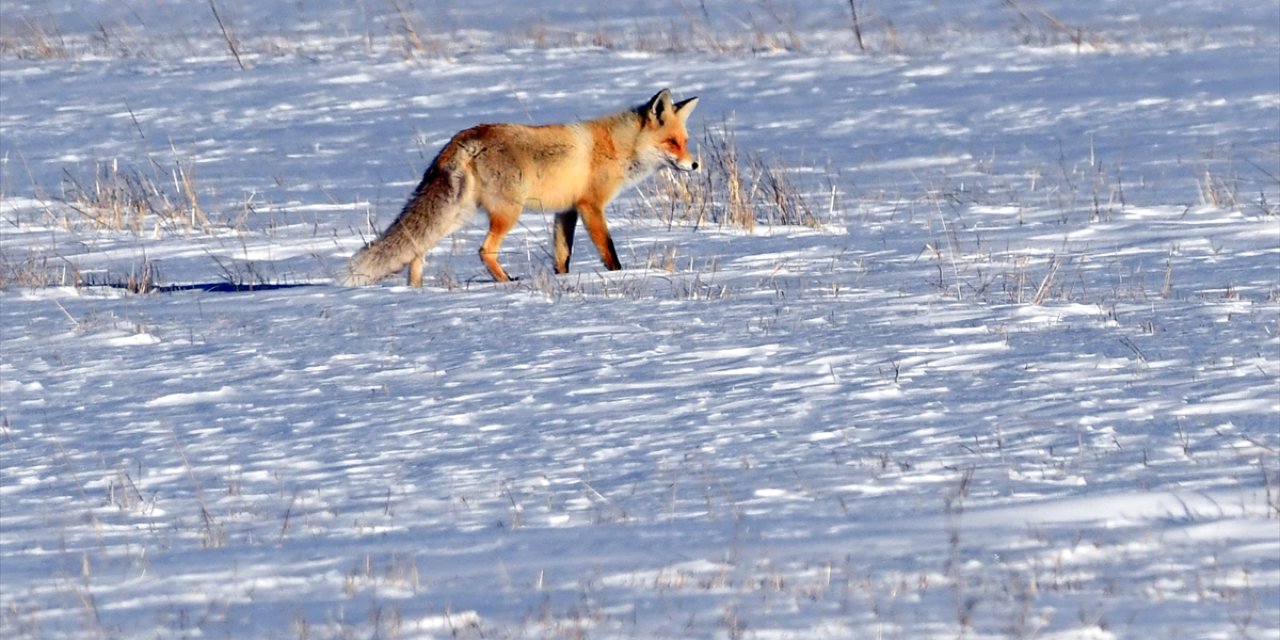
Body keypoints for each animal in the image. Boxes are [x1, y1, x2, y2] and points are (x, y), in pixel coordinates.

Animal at [343, 87, 701, 285]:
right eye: (672, 142)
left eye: (684, 141)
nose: (695, 165)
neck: (617, 147)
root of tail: (463, 138)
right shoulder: (591, 206)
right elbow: (609, 252)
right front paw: (618, 276)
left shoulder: (566, 211)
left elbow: (562, 256)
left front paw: (562, 281)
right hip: (507, 212)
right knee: (484, 250)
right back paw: (505, 281)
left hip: (456, 214)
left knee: (417, 249)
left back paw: (416, 290)